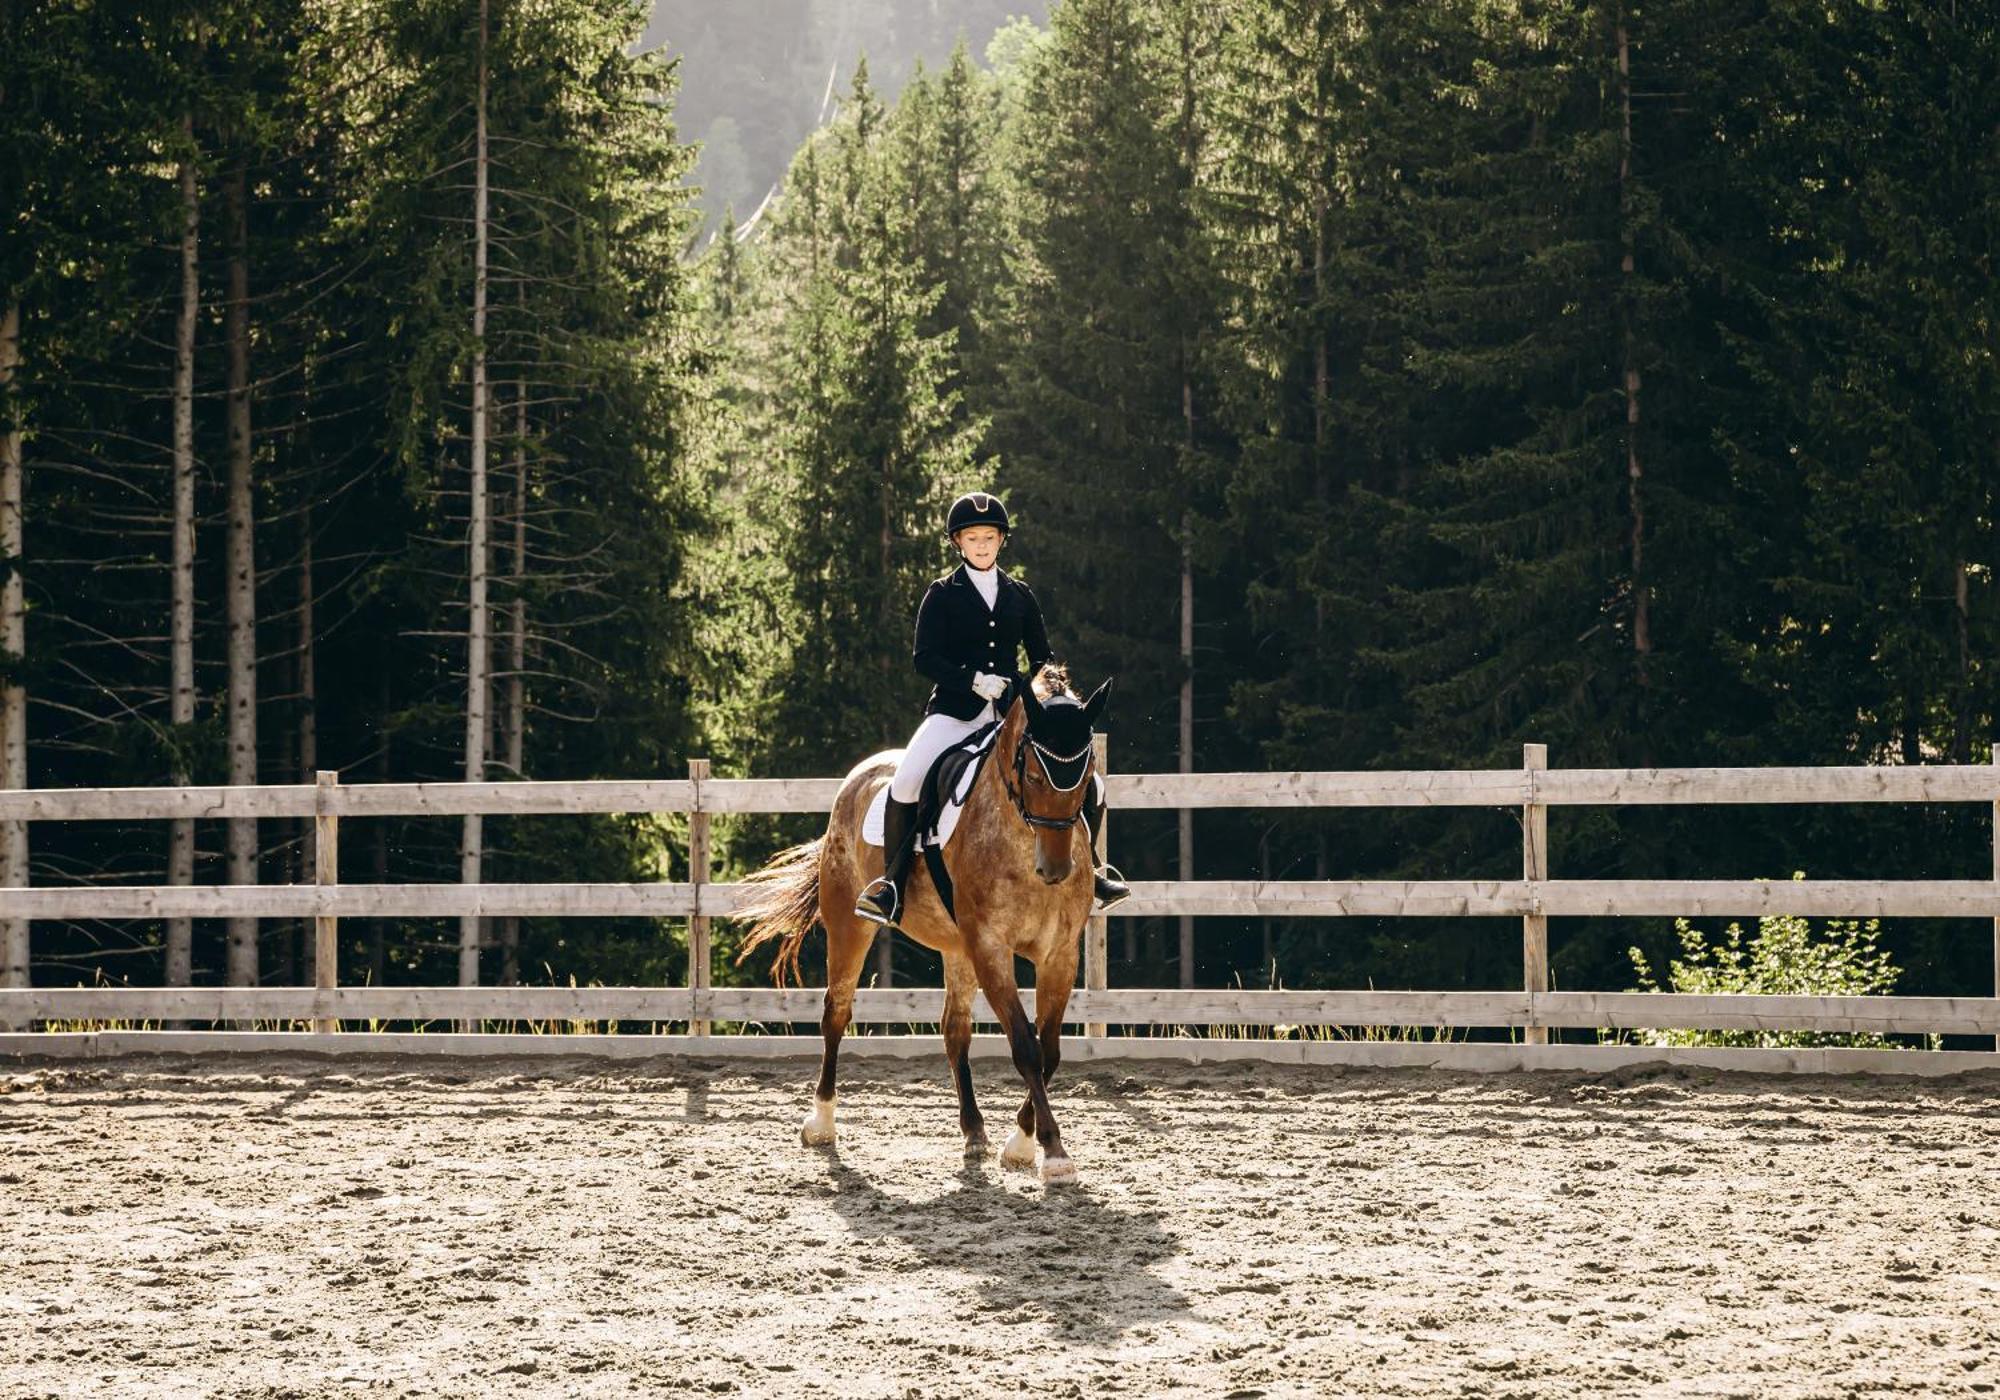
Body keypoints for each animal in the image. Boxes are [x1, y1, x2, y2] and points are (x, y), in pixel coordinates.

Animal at [736, 664, 1112, 1184]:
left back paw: (973, 1131)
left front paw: (1020, 1143)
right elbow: (1026, 1046)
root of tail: (860, 774)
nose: (1055, 870)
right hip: (849, 924)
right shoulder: (991, 948)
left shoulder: (1059, 953)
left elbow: (1051, 1050)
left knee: (954, 1030)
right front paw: (1051, 1152)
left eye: (1086, 780)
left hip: (956, 947)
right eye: (1035, 774)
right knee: (836, 1012)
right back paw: (821, 1122)